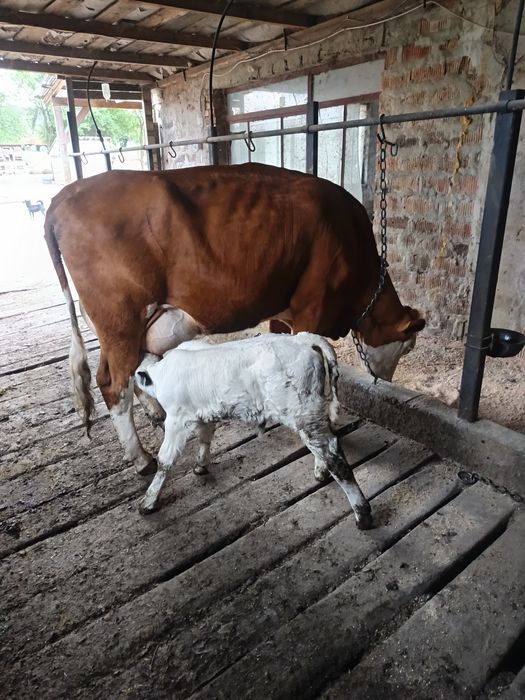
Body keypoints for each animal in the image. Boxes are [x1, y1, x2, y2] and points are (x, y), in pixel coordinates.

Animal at [44, 163, 425, 475]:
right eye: (407, 348)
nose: (384, 380)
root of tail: (65, 195)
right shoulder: (311, 308)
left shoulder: (282, 310)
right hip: (120, 319)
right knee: (112, 383)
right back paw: (140, 458)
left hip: (135, 324)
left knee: (135, 372)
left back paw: (155, 413)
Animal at [134, 333, 373, 529]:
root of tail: (304, 338)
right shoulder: (205, 412)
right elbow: (205, 438)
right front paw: (201, 465)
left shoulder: (176, 419)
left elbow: (165, 460)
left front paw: (148, 502)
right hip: (312, 414)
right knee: (326, 444)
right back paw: (321, 472)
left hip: (303, 413)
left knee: (334, 457)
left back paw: (363, 515)